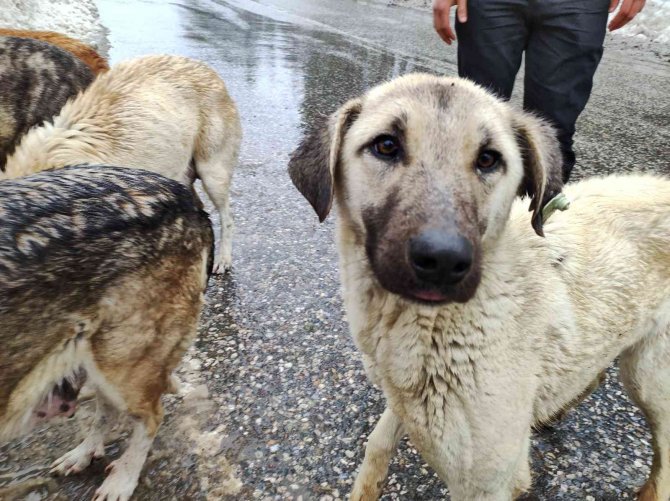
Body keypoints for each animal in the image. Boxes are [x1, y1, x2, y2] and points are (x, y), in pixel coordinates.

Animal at [0, 165, 214, 500]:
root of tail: (184, 198)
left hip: (121, 365)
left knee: (151, 417)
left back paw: (122, 480)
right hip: (101, 359)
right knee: (107, 411)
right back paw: (84, 453)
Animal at [292, 72, 670, 498]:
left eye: (488, 159)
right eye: (386, 145)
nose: (442, 260)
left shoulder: (486, 482)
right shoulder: (405, 401)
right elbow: (377, 443)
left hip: (649, 378)